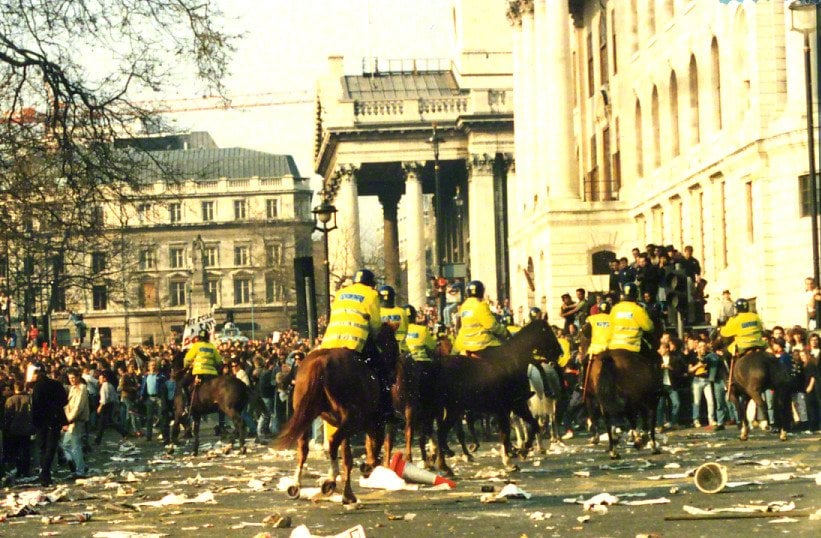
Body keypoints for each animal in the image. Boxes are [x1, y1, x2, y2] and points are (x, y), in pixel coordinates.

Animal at [276, 322, 400, 502]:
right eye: (394, 344)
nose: (394, 375)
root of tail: (321, 361)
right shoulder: (372, 423)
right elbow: (373, 448)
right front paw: (366, 468)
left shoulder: (344, 425)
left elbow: (347, 457)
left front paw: (348, 493)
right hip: (352, 420)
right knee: (332, 441)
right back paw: (330, 480)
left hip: (308, 416)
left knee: (303, 449)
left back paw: (296, 485)